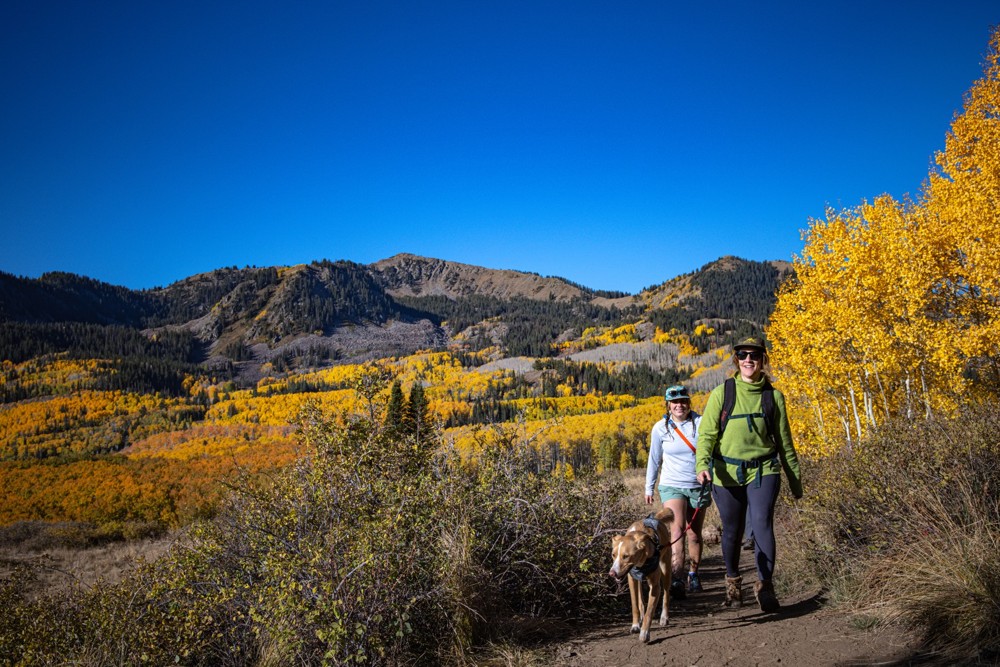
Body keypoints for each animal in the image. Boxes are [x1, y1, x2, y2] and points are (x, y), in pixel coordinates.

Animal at [608, 508, 672, 644]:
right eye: (613, 555)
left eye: (626, 556)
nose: (612, 573)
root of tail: (656, 518)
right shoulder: (631, 579)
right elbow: (635, 605)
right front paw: (635, 625)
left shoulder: (655, 586)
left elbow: (649, 612)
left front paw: (644, 633)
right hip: (639, 581)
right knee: (640, 601)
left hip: (666, 569)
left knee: (666, 594)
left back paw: (664, 617)